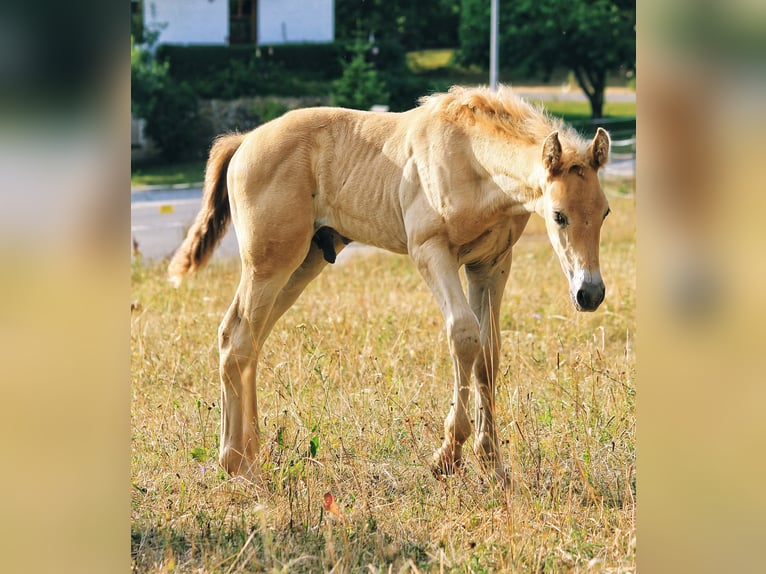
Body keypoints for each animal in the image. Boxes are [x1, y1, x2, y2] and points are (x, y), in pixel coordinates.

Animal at [168, 85, 611, 486]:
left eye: (604, 211)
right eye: (558, 215)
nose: (589, 293)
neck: (470, 159)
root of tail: (244, 141)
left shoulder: (490, 265)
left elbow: (488, 353)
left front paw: (493, 464)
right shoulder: (431, 251)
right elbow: (463, 335)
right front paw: (447, 457)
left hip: (303, 263)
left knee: (249, 339)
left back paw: (251, 453)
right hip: (268, 264)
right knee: (237, 337)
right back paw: (238, 464)